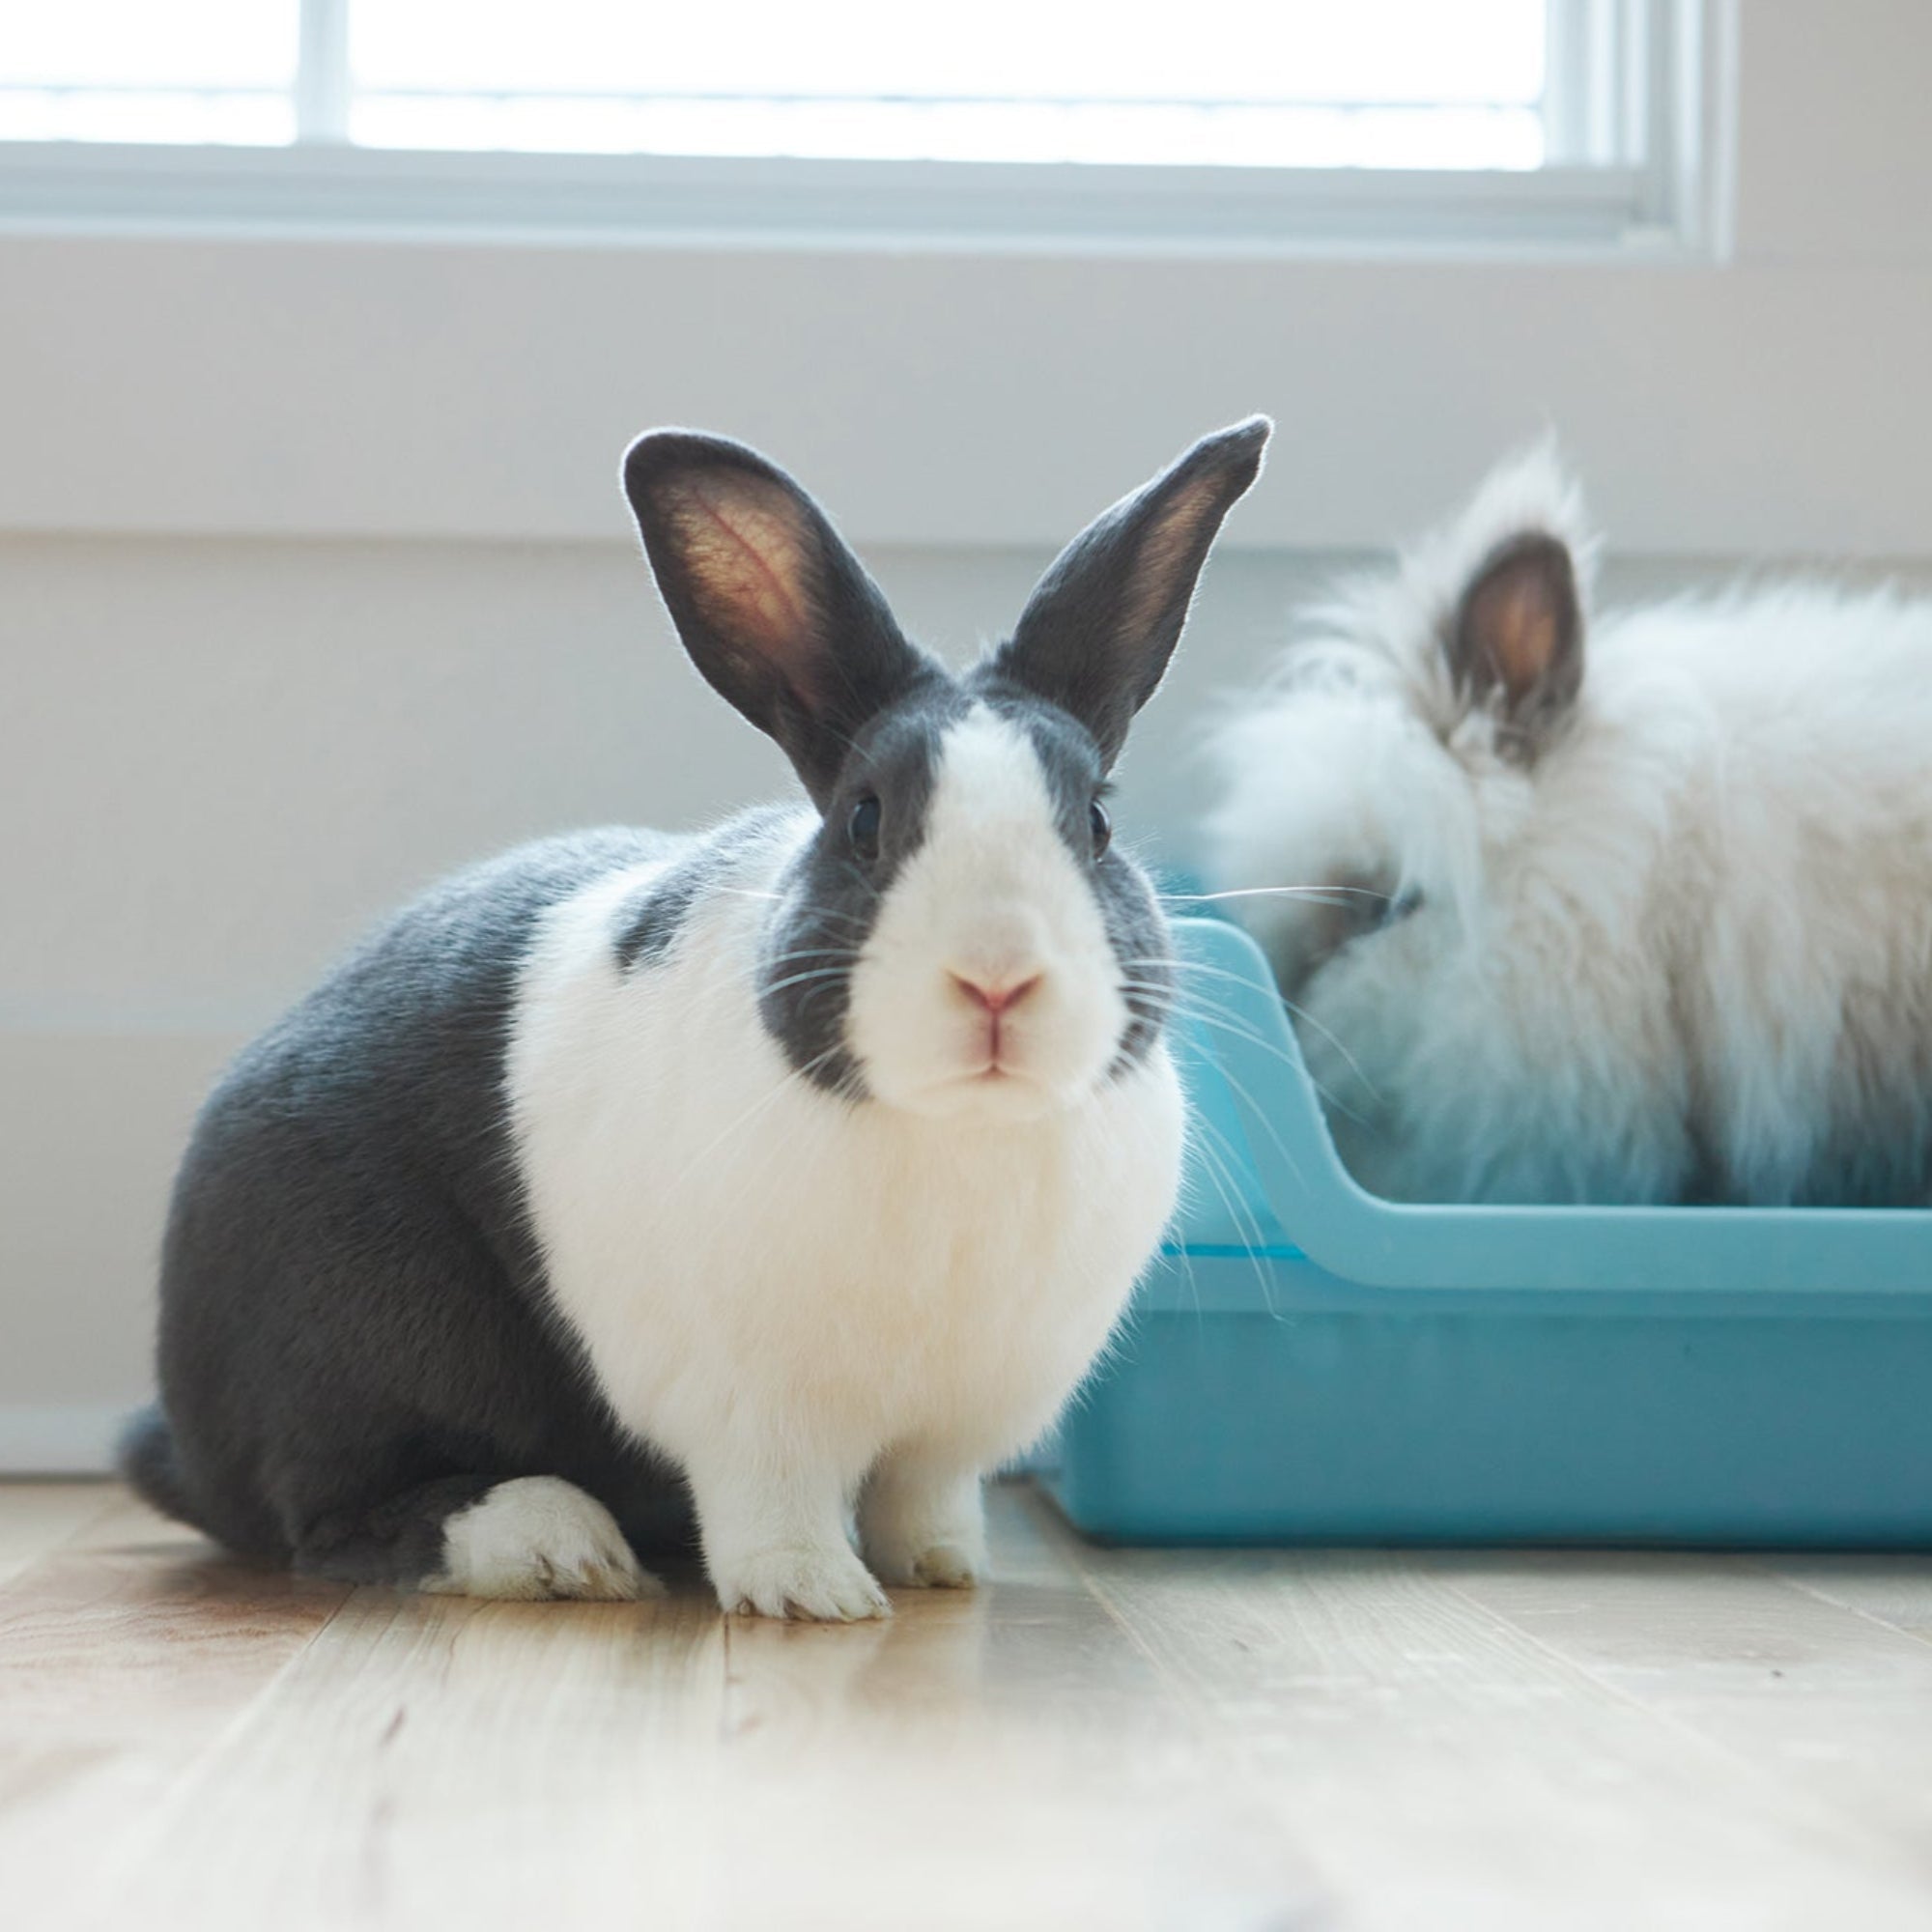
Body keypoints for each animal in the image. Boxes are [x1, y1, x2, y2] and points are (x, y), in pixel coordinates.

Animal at [118, 416, 1271, 1619]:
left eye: (1094, 823)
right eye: (863, 819)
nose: (996, 977)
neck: (959, 1131)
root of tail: (180, 1438)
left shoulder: (950, 1429)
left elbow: (923, 1496)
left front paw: (946, 1569)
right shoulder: (752, 1417)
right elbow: (775, 1505)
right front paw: (816, 1594)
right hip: (361, 1336)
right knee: (336, 1515)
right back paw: (558, 1546)